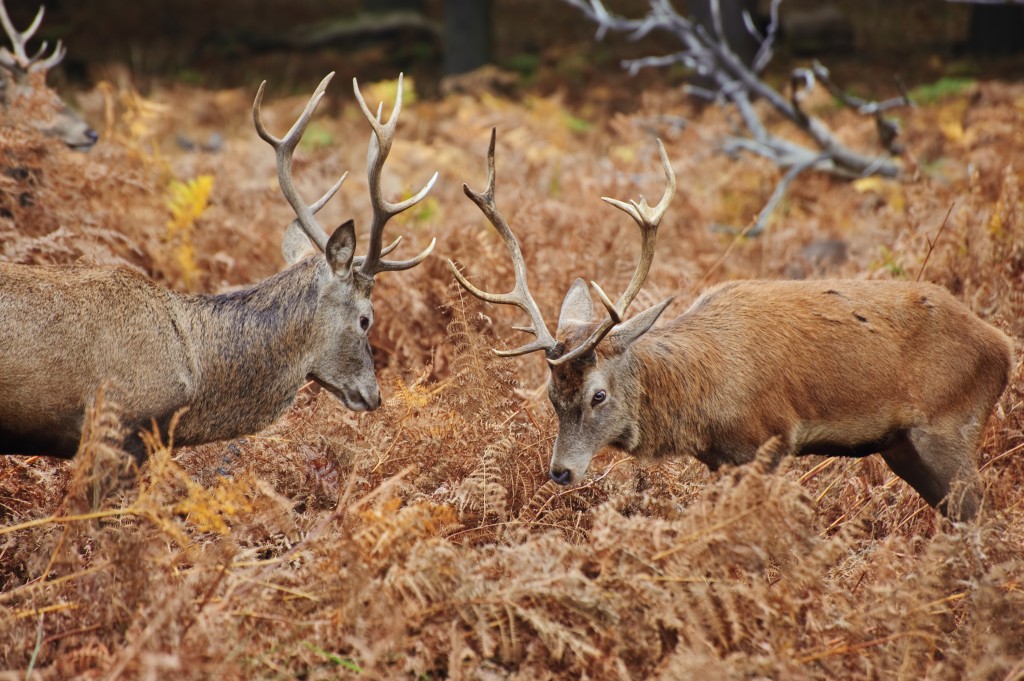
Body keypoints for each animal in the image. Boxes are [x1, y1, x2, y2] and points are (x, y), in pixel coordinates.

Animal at [448, 130, 1015, 522]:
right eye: (550, 395)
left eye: (598, 395)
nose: (561, 471)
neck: (703, 404)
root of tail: (1003, 347)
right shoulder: (720, 460)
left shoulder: (769, 439)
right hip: (902, 446)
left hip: (951, 425)